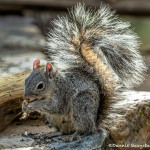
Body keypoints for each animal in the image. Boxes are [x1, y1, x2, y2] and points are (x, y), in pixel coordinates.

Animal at [22, 2, 146, 141]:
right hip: (54, 119)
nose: (26, 97)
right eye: (25, 81)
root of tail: (95, 123)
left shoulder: (63, 93)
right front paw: (24, 105)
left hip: (80, 107)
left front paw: (32, 105)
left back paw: (75, 135)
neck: (53, 85)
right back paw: (49, 133)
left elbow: (56, 106)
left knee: (84, 130)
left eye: (40, 86)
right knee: (61, 131)